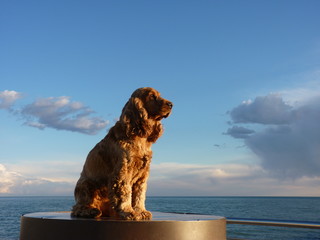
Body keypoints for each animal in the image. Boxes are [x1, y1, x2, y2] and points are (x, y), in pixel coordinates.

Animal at [72, 87, 172, 219]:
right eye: (152, 96)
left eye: (159, 95)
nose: (171, 104)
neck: (140, 137)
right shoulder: (123, 170)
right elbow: (125, 192)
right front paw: (128, 211)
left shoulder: (143, 174)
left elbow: (139, 194)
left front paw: (141, 211)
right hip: (86, 184)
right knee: (77, 208)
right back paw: (90, 211)